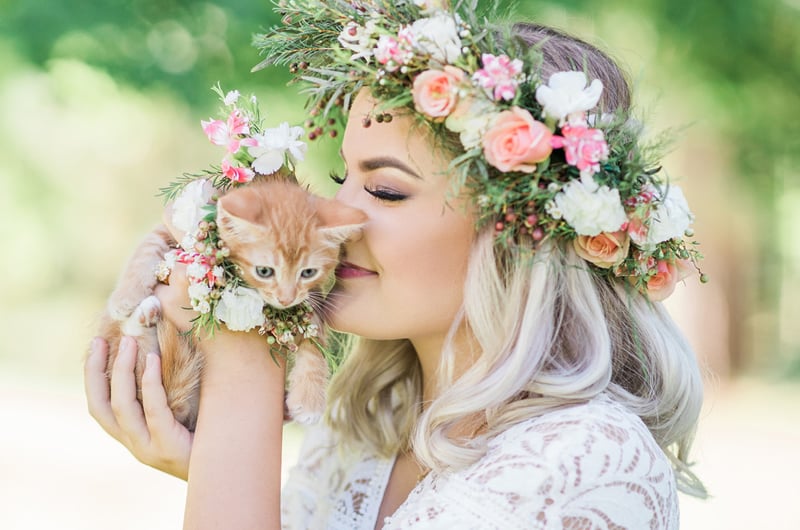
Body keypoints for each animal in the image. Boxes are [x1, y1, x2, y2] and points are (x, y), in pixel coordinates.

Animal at [96, 178, 366, 428]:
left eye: (308, 272)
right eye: (264, 271)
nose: (285, 298)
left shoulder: (311, 296)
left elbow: (314, 336)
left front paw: (309, 398)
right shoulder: (167, 230)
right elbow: (148, 247)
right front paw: (125, 296)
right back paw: (141, 315)